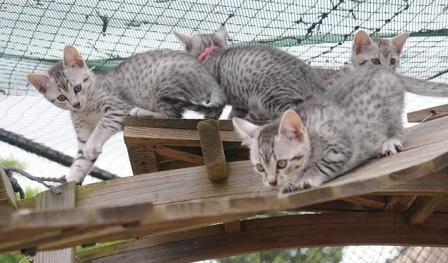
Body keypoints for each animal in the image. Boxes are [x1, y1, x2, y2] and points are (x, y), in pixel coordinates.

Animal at [26, 46, 226, 185]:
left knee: (172, 116)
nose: (75, 104)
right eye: (61, 98)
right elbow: (81, 159)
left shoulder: (117, 108)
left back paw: (143, 112)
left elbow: (102, 126)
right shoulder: (82, 132)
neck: (87, 109)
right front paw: (72, 178)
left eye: (77, 88)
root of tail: (209, 78)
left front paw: (92, 145)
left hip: (164, 84)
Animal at [172, 26, 326, 121]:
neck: (213, 52)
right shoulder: (240, 103)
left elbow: (214, 108)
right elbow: (235, 114)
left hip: (272, 94)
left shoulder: (215, 91)